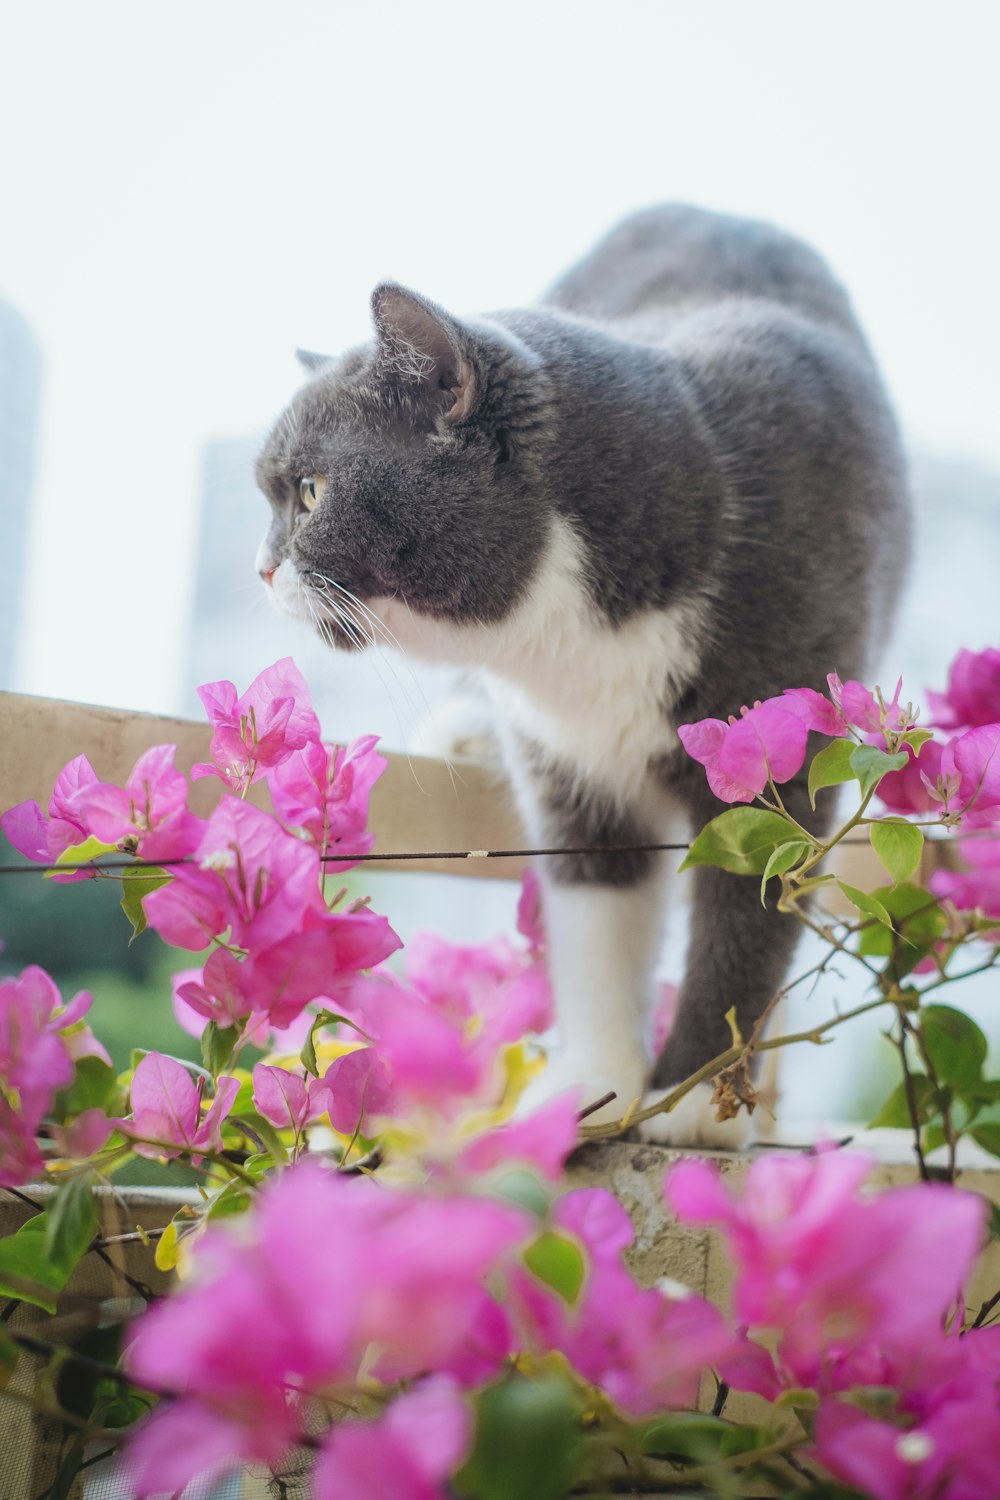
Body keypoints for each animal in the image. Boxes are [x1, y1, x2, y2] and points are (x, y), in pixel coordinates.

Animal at [254, 205, 911, 1146]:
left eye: (309, 491)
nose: (261, 568)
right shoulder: (567, 768)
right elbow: (595, 912)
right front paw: (595, 1087)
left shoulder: (781, 737)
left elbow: (748, 914)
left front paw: (700, 1103)